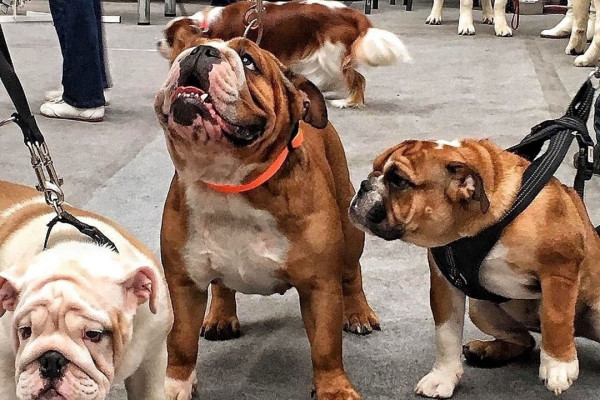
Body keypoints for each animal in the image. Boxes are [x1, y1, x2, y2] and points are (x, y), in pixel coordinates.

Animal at [154, 33, 379, 399]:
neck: (228, 181)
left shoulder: (319, 287)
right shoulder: (184, 283)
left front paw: (334, 388)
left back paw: (359, 312)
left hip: (350, 234)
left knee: (352, 272)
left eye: (248, 61)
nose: (201, 51)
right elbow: (181, 341)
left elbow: (326, 346)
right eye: (189, 45)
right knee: (222, 286)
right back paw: (220, 315)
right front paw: (175, 384)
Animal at [156, 0, 411, 108]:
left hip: (331, 53)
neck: (206, 26)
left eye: (168, 38)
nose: (157, 42)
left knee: (356, 79)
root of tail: (354, 14)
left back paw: (347, 102)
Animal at [349, 139, 600, 397]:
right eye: (375, 169)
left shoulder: (559, 269)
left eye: (398, 180)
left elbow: (556, 317)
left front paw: (558, 366)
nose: (364, 184)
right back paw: (487, 351)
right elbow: (446, 334)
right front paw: (443, 377)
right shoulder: (445, 284)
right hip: (480, 309)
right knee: (526, 341)